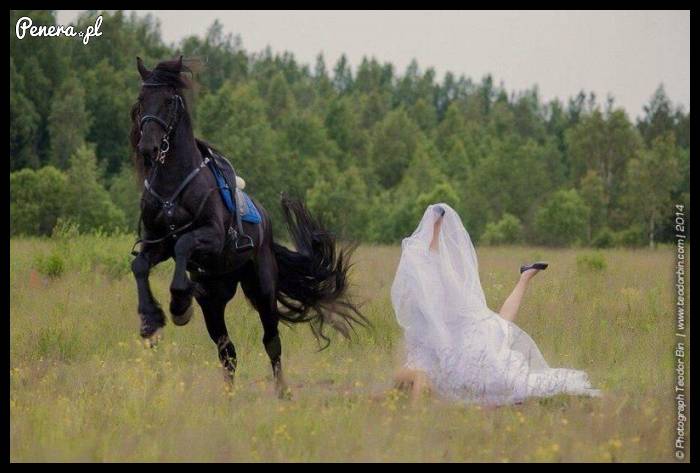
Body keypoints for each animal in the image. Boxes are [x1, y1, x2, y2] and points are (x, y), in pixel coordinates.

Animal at [129, 56, 366, 394]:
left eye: (169, 100)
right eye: (141, 99)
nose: (147, 148)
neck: (175, 182)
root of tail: (265, 221)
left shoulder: (213, 237)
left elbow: (184, 243)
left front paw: (178, 304)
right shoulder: (155, 244)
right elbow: (140, 265)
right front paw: (151, 319)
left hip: (262, 289)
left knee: (271, 341)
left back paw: (283, 393)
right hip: (213, 298)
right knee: (227, 352)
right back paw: (229, 396)